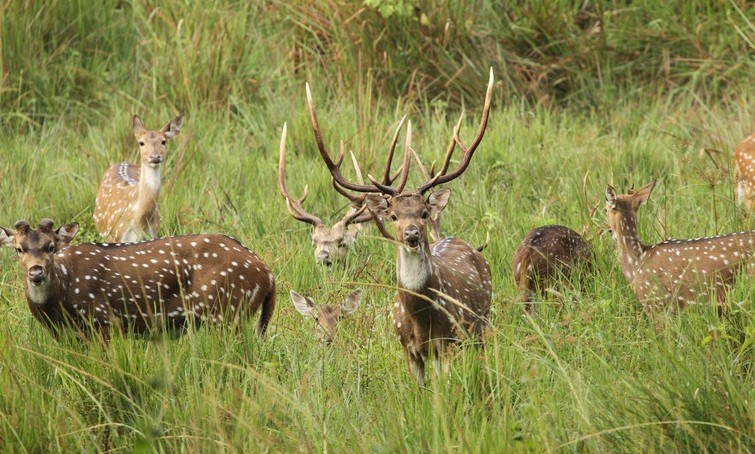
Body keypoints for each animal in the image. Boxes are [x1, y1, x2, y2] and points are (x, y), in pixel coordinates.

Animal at [0, 217, 278, 340]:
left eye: (50, 247)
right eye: (19, 249)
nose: (36, 272)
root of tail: (268, 273)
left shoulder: (106, 320)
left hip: (227, 312)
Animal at [94, 113, 184, 243]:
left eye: (163, 142)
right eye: (141, 143)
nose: (155, 156)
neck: (139, 220)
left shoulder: (152, 234)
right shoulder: (115, 235)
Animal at [308, 67, 496, 386]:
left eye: (423, 212)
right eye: (394, 216)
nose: (411, 234)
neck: (420, 318)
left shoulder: (447, 341)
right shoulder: (408, 348)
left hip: (481, 322)